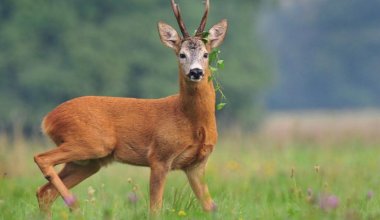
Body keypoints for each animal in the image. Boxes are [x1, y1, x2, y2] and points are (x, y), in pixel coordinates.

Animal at [34, 0, 227, 217]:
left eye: (206, 54)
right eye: (181, 54)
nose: (196, 72)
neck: (191, 121)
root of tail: (48, 119)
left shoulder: (197, 165)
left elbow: (210, 207)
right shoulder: (159, 156)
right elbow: (155, 208)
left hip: (89, 161)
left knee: (44, 192)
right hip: (92, 142)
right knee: (41, 159)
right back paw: (75, 205)